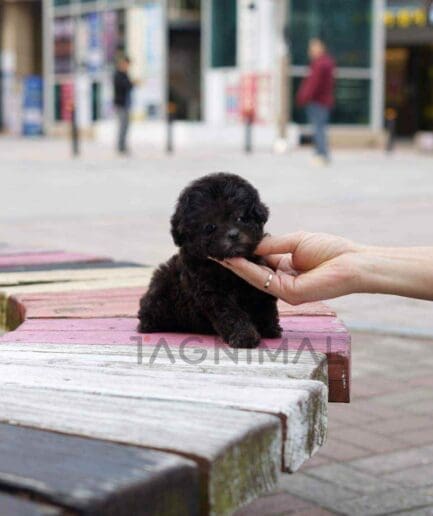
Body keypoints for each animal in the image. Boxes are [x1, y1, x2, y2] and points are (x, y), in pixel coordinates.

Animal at [137, 172, 282, 346]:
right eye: (210, 227)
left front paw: (269, 328)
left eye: (241, 218)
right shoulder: (212, 293)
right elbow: (231, 314)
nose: (233, 235)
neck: (226, 271)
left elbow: (264, 302)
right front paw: (244, 336)